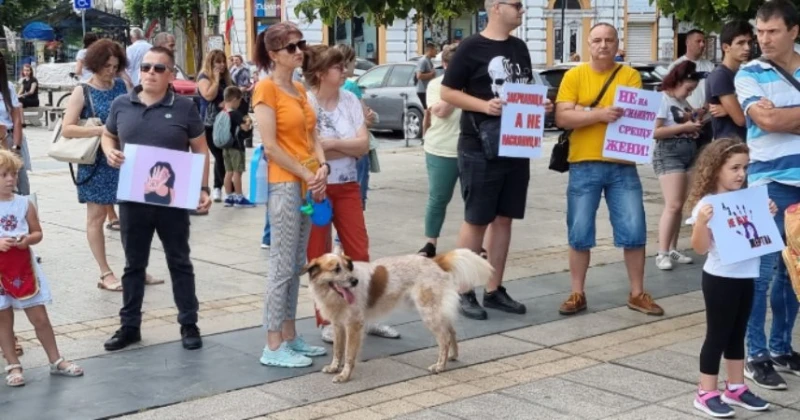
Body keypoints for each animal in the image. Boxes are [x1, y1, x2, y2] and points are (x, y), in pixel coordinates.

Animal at [302, 249, 494, 384]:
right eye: (336, 269)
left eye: (347, 267)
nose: (354, 281)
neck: (334, 296)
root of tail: (434, 261)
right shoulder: (338, 325)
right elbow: (337, 350)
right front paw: (334, 368)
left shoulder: (353, 325)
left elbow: (349, 355)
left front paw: (344, 376)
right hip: (436, 311)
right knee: (452, 331)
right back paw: (452, 357)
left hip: (429, 313)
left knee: (445, 338)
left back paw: (440, 365)